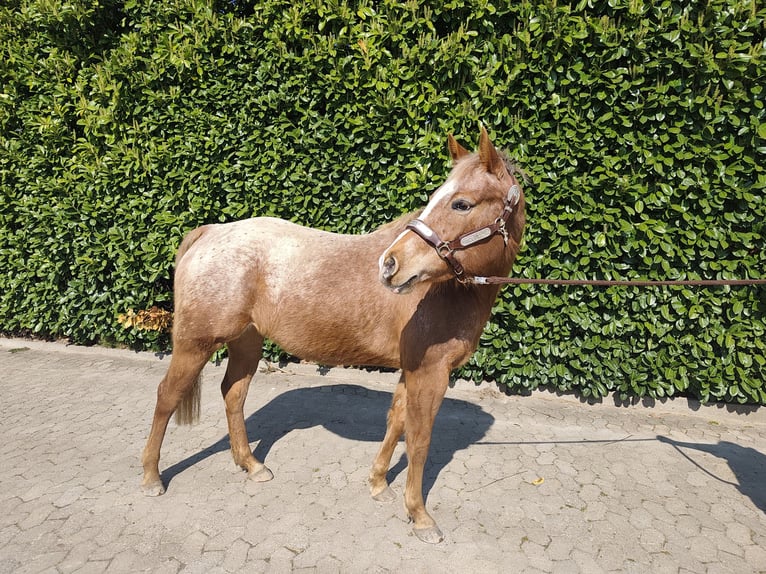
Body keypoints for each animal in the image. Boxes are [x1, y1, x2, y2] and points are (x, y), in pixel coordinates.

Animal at [141, 126, 526, 543]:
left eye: (461, 203)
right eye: (440, 200)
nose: (390, 265)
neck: (444, 291)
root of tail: (210, 233)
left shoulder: (413, 369)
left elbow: (397, 421)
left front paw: (378, 483)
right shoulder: (431, 372)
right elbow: (419, 439)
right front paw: (420, 516)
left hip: (247, 342)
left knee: (233, 394)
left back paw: (251, 465)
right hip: (195, 344)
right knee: (166, 397)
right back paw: (151, 477)